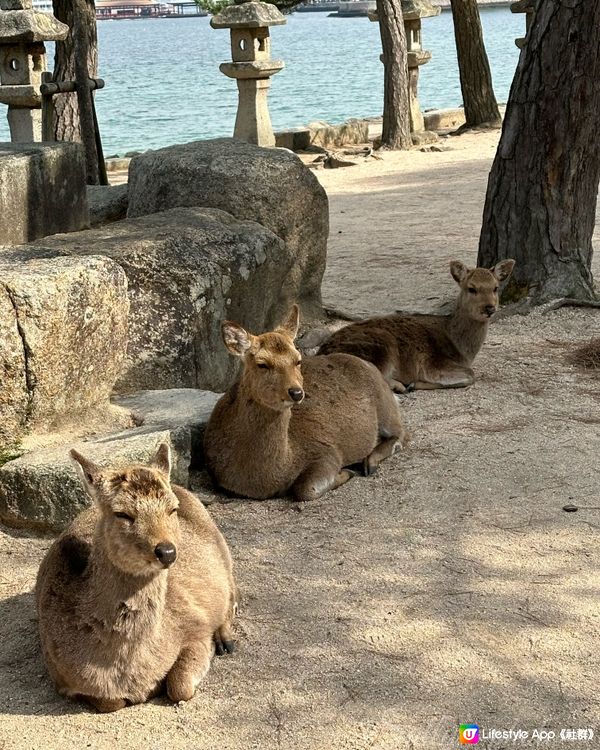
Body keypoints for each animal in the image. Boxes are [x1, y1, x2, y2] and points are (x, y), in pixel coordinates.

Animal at [34, 446, 237, 716]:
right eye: (122, 513)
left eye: (172, 509)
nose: (167, 551)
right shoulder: (58, 673)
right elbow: (110, 703)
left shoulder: (196, 627)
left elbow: (180, 686)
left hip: (224, 550)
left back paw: (226, 641)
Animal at [203, 302, 408, 502]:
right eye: (262, 364)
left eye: (298, 360)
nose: (296, 392)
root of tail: (371, 366)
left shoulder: (328, 451)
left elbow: (305, 489)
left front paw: (347, 472)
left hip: (384, 404)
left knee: (401, 434)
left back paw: (369, 462)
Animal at [318, 262, 516, 394]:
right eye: (471, 288)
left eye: (495, 288)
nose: (490, 308)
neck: (462, 350)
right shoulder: (433, 364)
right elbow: (470, 375)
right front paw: (415, 384)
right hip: (379, 347)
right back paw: (400, 386)